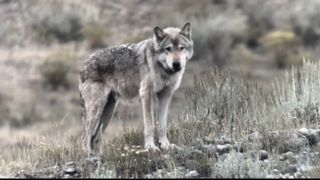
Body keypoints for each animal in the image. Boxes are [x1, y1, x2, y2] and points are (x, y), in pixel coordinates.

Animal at [79, 22, 195, 158]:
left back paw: (99, 157)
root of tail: (84, 65)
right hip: (96, 111)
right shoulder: (146, 94)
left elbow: (162, 125)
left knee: (96, 137)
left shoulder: (166, 95)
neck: (163, 69)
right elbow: (150, 124)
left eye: (182, 48)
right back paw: (89, 157)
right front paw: (151, 147)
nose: (176, 64)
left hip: (108, 111)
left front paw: (166, 145)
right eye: (168, 48)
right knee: (85, 137)